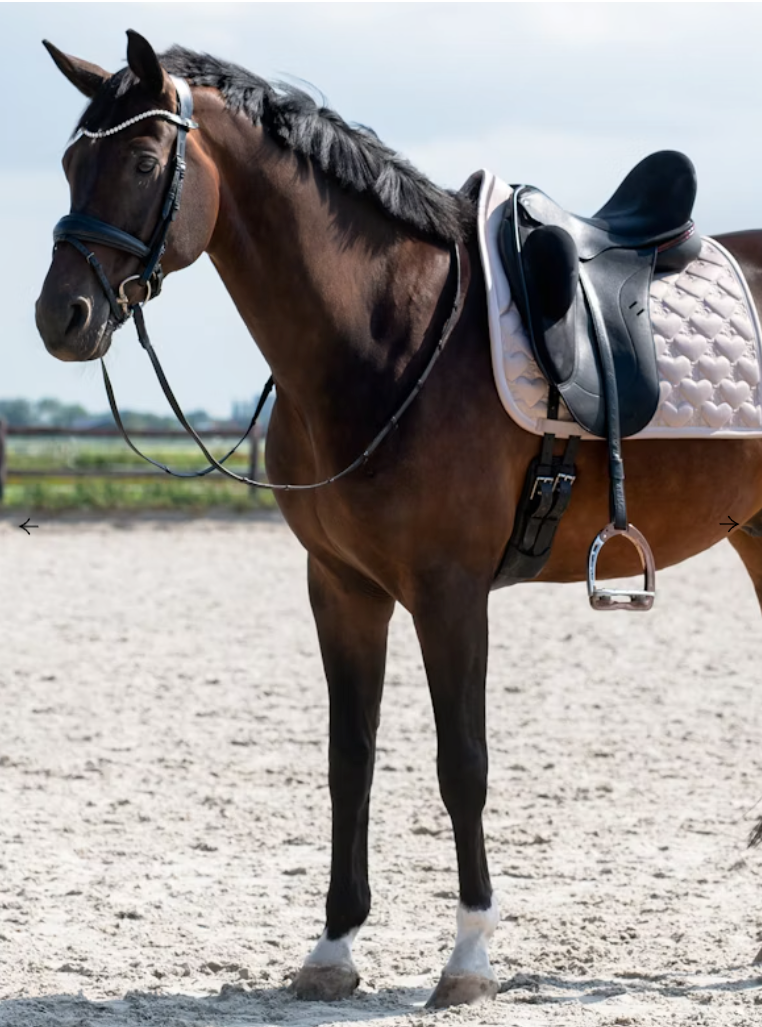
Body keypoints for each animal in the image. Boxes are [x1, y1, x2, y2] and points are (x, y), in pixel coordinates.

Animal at [35, 30, 762, 1010]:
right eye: (71, 162)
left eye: (145, 161)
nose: (60, 316)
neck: (390, 337)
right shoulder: (342, 588)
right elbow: (349, 759)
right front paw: (333, 946)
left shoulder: (450, 593)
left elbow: (463, 764)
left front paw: (470, 956)